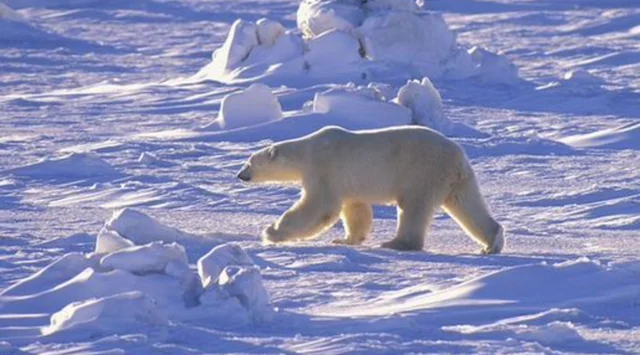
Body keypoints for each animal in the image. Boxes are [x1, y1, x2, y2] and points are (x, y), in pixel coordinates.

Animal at [236, 125, 504, 253]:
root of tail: (457, 158)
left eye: (249, 162)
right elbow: (356, 209)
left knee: (413, 207)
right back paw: (492, 243)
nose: (240, 175)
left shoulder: (323, 169)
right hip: (457, 180)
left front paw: (271, 232)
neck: (307, 150)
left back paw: (396, 243)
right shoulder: (346, 182)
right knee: (468, 205)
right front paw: (345, 239)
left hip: (422, 172)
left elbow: (319, 207)